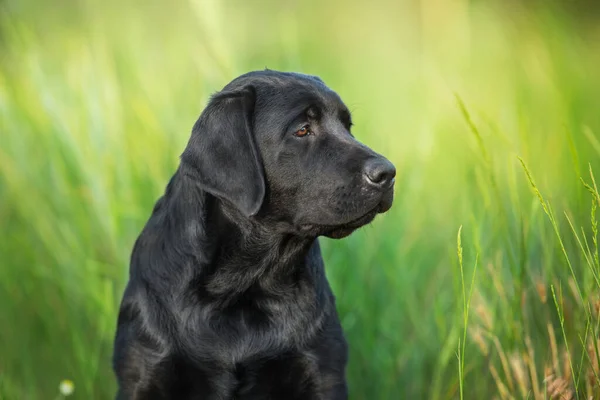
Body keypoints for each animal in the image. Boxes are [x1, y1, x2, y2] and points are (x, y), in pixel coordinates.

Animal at [113, 70, 396, 398]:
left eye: (348, 127)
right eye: (302, 130)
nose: (388, 173)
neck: (244, 286)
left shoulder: (323, 371)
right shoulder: (144, 373)